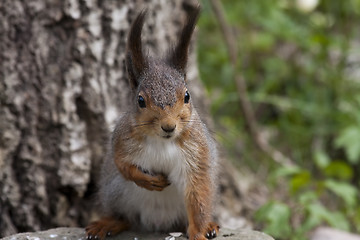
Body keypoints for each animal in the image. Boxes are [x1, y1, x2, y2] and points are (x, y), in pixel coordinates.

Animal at [86, 5, 219, 240]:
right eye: (140, 101)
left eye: (187, 96)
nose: (169, 126)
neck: (162, 141)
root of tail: (158, 223)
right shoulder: (122, 140)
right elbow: (123, 164)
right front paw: (148, 180)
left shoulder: (197, 153)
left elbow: (197, 196)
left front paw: (198, 233)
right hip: (115, 192)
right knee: (125, 218)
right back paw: (107, 223)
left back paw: (210, 225)